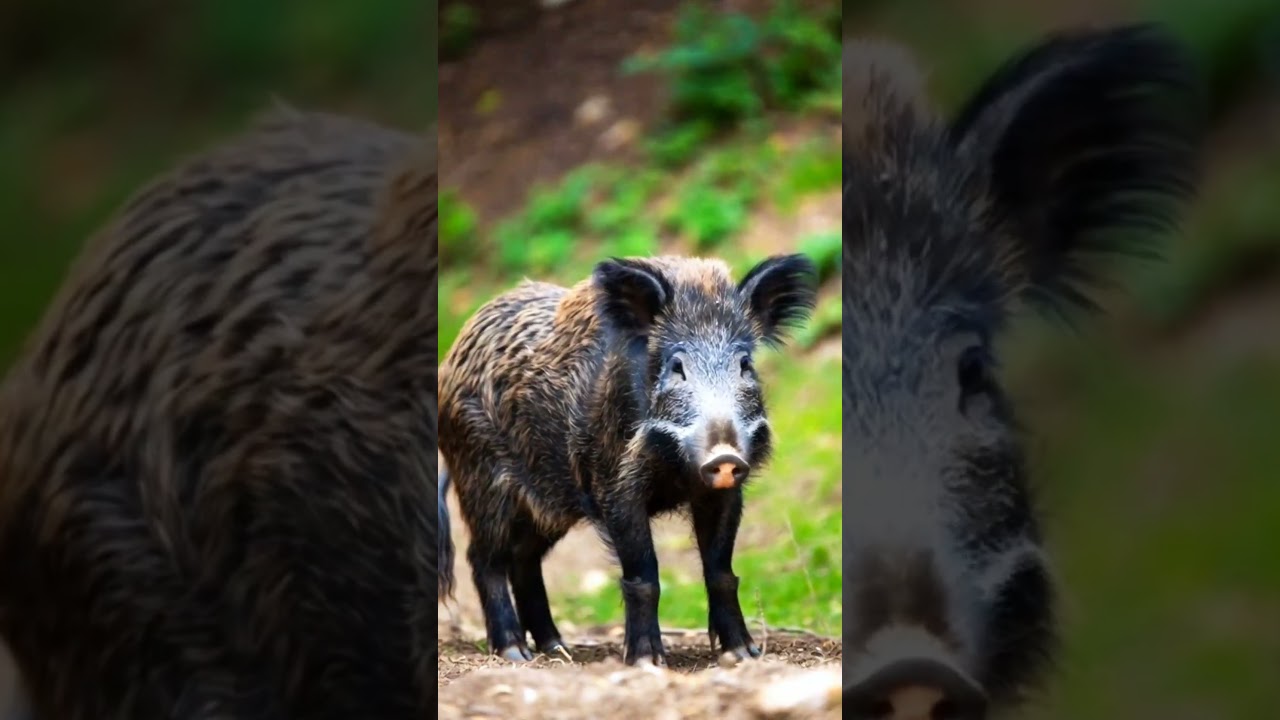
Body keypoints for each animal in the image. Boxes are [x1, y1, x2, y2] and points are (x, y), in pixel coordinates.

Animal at [438, 254, 819, 666]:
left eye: (744, 364)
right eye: (677, 366)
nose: (724, 455)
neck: (677, 472)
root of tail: (452, 357)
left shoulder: (725, 493)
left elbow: (721, 573)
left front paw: (743, 655)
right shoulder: (615, 485)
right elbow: (644, 577)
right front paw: (646, 661)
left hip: (546, 504)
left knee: (524, 560)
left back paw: (556, 649)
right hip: (482, 479)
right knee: (485, 559)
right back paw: (514, 653)